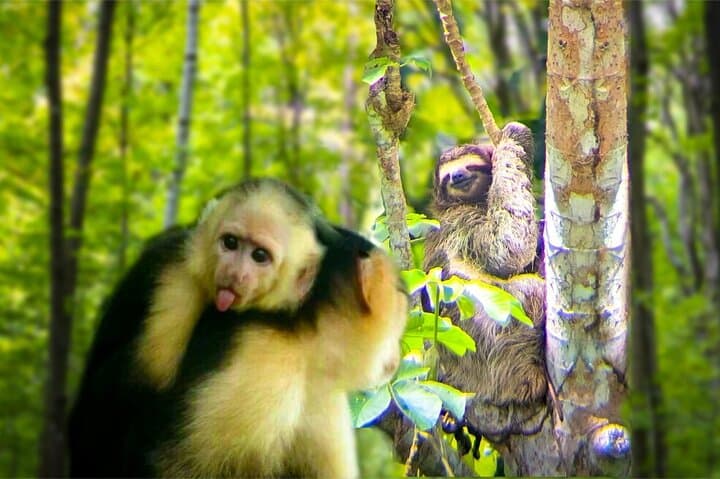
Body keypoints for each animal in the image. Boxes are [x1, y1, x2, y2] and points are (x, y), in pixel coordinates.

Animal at [423, 122, 548, 444]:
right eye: (446, 176)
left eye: (470, 166)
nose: (457, 176)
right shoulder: (463, 224)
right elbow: (508, 246)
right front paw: (515, 134)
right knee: (531, 291)